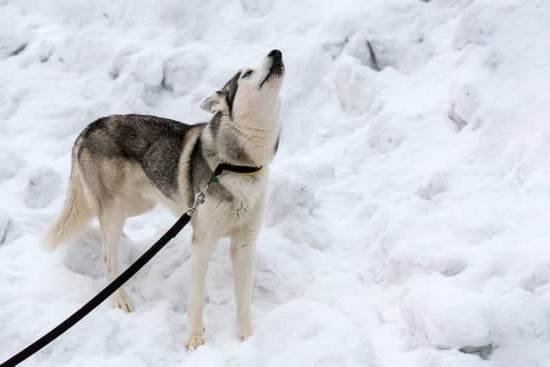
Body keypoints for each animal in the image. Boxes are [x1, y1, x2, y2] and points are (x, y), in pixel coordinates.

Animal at [42, 50, 284, 350]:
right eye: (247, 74)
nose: (276, 52)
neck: (238, 166)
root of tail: (88, 128)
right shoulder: (202, 242)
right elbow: (195, 298)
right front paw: (195, 340)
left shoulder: (245, 242)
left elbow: (243, 300)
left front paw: (248, 338)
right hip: (114, 210)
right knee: (107, 257)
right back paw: (120, 298)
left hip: (138, 204)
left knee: (108, 236)